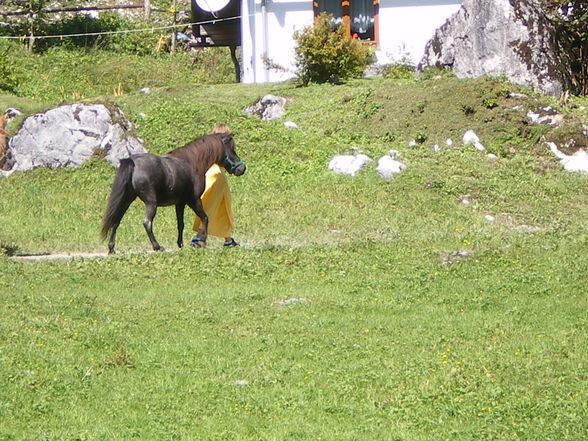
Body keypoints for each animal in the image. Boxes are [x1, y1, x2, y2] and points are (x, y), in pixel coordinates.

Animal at [101, 132, 246, 253]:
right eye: (232, 149)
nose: (242, 168)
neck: (192, 162)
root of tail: (133, 162)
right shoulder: (194, 200)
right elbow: (205, 218)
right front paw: (201, 241)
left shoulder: (180, 203)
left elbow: (180, 224)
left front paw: (180, 244)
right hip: (151, 203)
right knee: (147, 222)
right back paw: (157, 246)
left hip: (127, 199)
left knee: (116, 220)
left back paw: (111, 248)